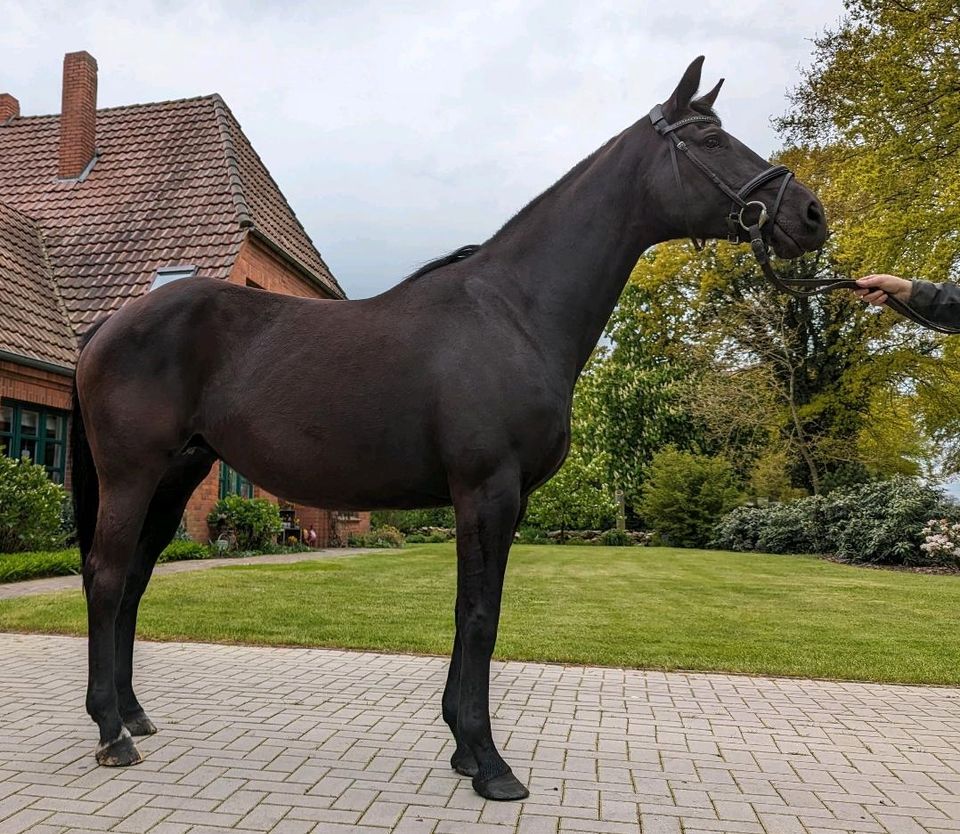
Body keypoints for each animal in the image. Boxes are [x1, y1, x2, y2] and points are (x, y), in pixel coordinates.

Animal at [73, 58, 824, 800]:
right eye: (710, 141)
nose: (811, 215)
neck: (515, 312)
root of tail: (110, 323)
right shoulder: (486, 491)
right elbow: (480, 616)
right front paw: (489, 762)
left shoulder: (506, 501)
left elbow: (473, 615)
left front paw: (464, 747)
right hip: (132, 473)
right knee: (106, 578)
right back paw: (111, 733)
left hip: (178, 475)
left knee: (133, 579)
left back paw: (134, 715)